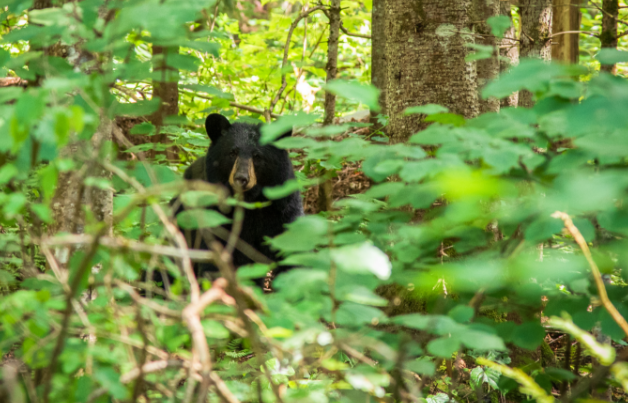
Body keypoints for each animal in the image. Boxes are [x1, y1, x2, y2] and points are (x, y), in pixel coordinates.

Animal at [177, 113, 304, 284]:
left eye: (257, 156)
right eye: (232, 153)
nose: (241, 178)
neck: (249, 203)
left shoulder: (282, 208)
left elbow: (292, 248)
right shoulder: (214, 214)